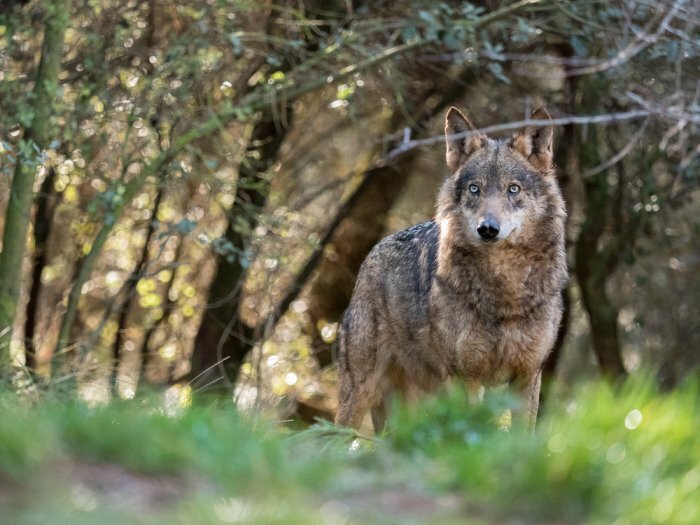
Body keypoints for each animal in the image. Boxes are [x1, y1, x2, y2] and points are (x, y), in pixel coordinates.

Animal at [335, 106, 567, 431]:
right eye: (474, 189)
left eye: (513, 189)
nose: (488, 229)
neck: (504, 293)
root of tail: (374, 251)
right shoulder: (465, 377)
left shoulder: (528, 375)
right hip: (361, 393)